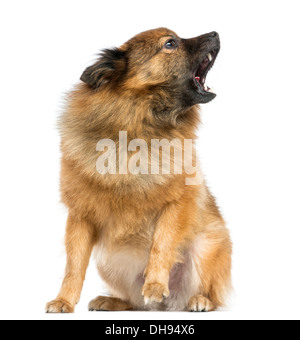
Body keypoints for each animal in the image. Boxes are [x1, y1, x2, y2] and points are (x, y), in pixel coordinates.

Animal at [45, 27, 232, 312]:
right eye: (170, 43)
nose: (214, 32)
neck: (139, 127)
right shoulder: (80, 215)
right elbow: (73, 266)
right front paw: (64, 300)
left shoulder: (176, 204)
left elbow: (162, 244)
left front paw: (154, 284)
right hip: (109, 262)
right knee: (135, 303)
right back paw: (111, 301)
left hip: (205, 248)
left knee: (210, 293)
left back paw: (199, 300)